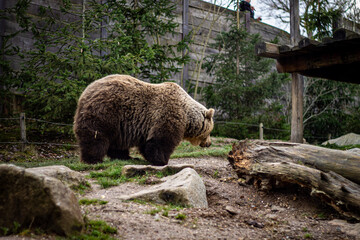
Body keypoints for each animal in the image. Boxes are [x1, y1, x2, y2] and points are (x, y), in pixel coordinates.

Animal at [73, 74, 214, 165]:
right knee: (96, 136)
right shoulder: (168, 114)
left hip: (118, 124)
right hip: (106, 112)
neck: (187, 116)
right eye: (209, 131)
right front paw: (162, 160)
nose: (209, 143)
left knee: (116, 142)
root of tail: (85, 92)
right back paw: (93, 159)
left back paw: (126, 157)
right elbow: (162, 139)